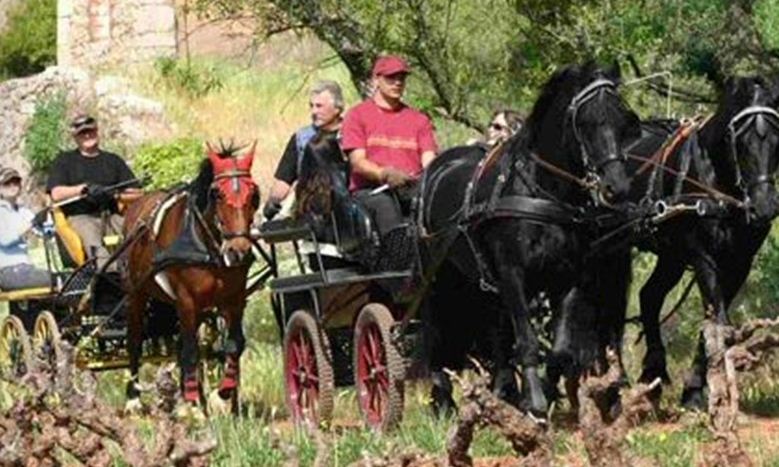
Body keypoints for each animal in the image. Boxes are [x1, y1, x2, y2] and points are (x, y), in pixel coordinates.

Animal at [122, 143, 258, 410]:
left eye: (254, 194)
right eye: (217, 194)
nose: (238, 252)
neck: (206, 246)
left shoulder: (234, 299)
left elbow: (234, 344)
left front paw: (224, 392)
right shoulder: (186, 300)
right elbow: (191, 352)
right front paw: (193, 402)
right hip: (136, 293)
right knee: (135, 341)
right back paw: (133, 398)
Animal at [420, 61, 640, 416]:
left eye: (624, 122)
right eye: (585, 122)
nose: (616, 187)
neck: (541, 193)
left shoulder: (567, 279)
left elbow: (560, 350)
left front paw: (546, 394)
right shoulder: (513, 274)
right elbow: (527, 340)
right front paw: (535, 404)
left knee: (494, 332)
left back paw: (500, 391)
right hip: (436, 277)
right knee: (435, 331)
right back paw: (442, 398)